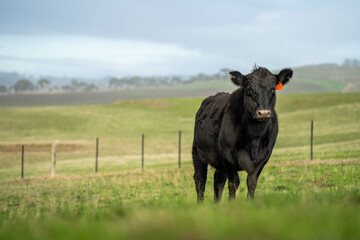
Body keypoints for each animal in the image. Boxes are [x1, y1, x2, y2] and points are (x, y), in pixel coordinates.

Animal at [193, 65, 292, 201]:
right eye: (249, 90)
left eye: (273, 90)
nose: (264, 113)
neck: (255, 136)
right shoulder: (228, 155)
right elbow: (234, 183)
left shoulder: (265, 155)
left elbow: (252, 181)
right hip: (198, 152)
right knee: (200, 180)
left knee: (218, 181)